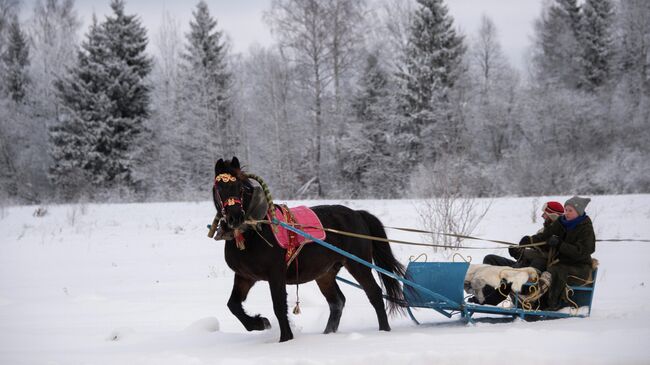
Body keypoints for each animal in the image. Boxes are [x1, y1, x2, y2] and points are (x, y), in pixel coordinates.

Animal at [211, 156, 404, 342]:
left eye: (241, 188)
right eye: (219, 188)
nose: (235, 217)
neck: (254, 230)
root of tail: (357, 214)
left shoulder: (276, 274)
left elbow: (279, 306)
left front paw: (286, 339)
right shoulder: (245, 276)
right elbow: (233, 305)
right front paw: (259, 323)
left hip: (358, 265)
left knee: (375, 294)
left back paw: (384, 331)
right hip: (325, 274)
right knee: (337, 302)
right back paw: (328, 334)